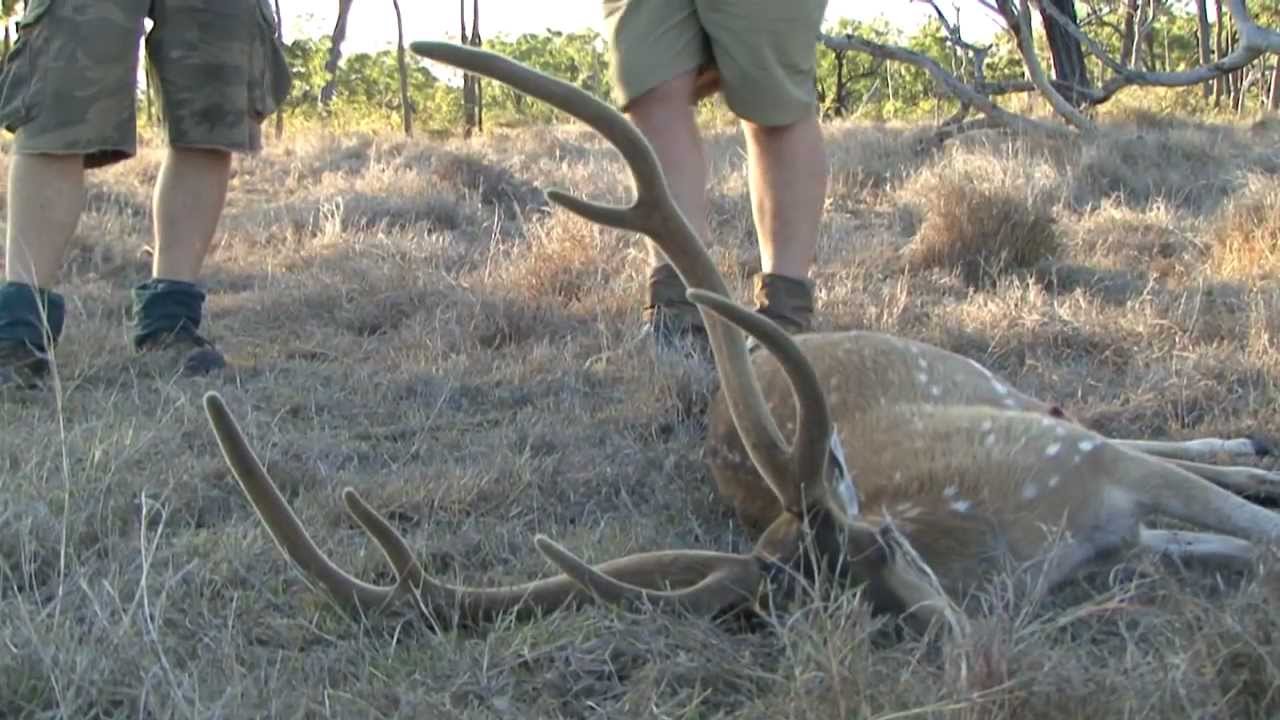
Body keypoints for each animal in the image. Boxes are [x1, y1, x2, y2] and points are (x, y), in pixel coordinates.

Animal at [201, 41, 1280, 637]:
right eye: (847, 611)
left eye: (884, 546)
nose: (957, 649)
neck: (1026, 541)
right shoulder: (1120, 528)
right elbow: (1232, 544)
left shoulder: (1085, 469)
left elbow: (1241, 523)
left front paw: (1252, 481)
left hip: (988, 380)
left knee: (1116, 423)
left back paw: (1248, 445)